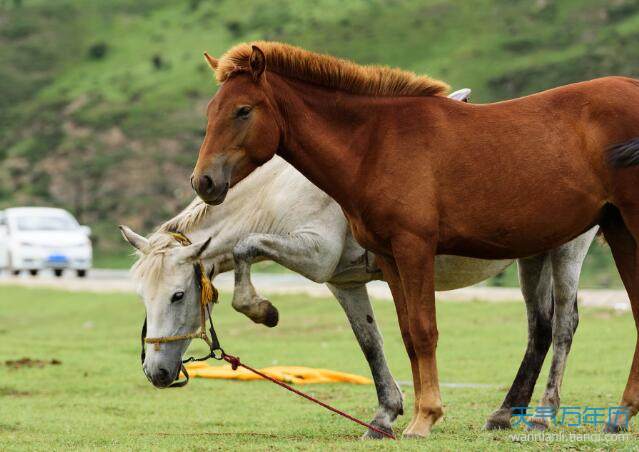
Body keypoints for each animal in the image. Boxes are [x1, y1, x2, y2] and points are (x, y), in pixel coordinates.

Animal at [121, 152, 600, 438]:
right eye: (143, 297)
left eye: (178, 295)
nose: (156, 372)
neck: (280, 193)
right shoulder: (344, 281)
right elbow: (371, 342)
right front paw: (385, 414)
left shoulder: (314, 254)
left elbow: (245, 247)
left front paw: (263, 310)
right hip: (532, 256)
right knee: (538, 328)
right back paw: (505, 413)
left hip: (568, 250)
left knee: (563, 325)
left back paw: (542, 414)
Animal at [192, 42, 639, 438]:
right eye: (211, 111)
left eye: (243, 110)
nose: (203, 181)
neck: (375, 144)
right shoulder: (389, 258)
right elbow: (406, 334)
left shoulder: (413, 249)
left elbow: (425, 331)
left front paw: (426, 417)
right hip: (603, 236)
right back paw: (613, 415)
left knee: (564, 325)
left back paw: (547, 415)